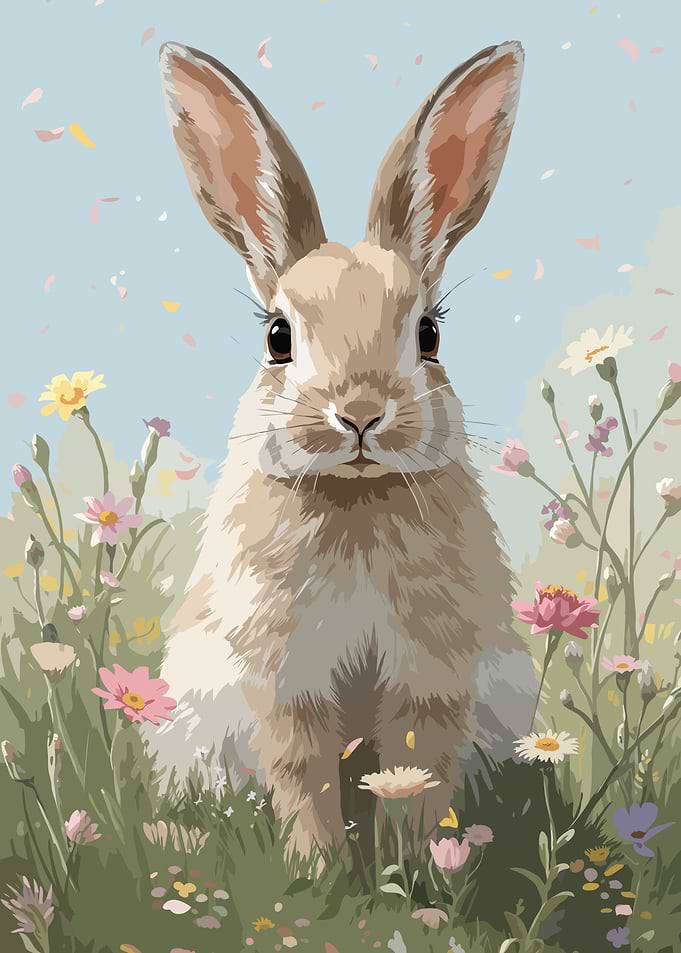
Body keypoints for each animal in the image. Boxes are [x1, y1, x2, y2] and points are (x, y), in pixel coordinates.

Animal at [148, 39, 536, 861]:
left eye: (429, 333)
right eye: (277, 336)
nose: (359, 414)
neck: (356, 496)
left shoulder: (430, 674)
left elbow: (417, 766)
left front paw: (413, 863)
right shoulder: (286, 676)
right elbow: (303, 772)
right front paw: (319, 864)